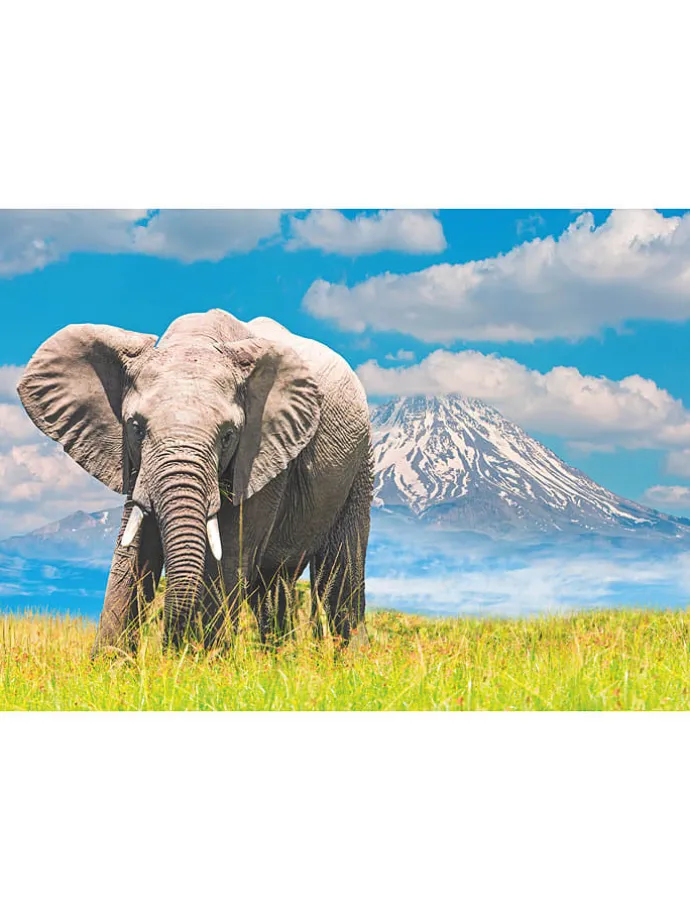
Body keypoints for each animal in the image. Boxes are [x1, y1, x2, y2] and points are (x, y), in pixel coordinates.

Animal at [17, 309, 373, 654]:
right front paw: (110, 665)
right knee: (273, 586)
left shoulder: (262, 453)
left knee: (338, 574)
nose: (169, 647)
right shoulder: (134, 463)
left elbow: (227, 554)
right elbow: (134, 550)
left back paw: (348, 662)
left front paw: (200, 662)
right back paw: (277, 661)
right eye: (136, 428)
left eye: (228, 436)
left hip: (359, 460)